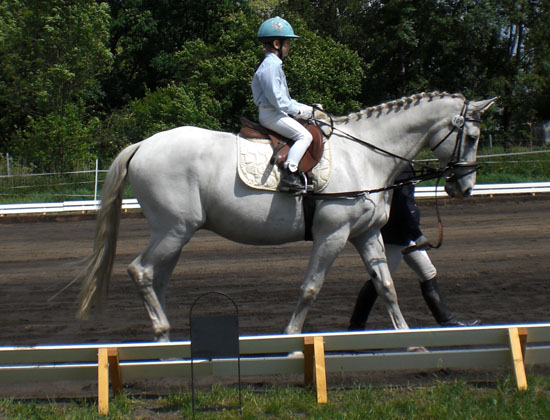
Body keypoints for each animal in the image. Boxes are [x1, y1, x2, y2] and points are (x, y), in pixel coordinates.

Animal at [76, 92, 496, 342]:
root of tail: (142, 145)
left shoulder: (366, 235)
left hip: (175, 235)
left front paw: (406, 338)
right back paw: (162, 333)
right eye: (473, 137)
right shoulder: (333, 234)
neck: (364, 155)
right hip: (173, 231)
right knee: (141, 271)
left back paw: (164, 340)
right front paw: (293, 338)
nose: (465, 187)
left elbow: (385, 286)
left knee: (156, 279)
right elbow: (311, 286)